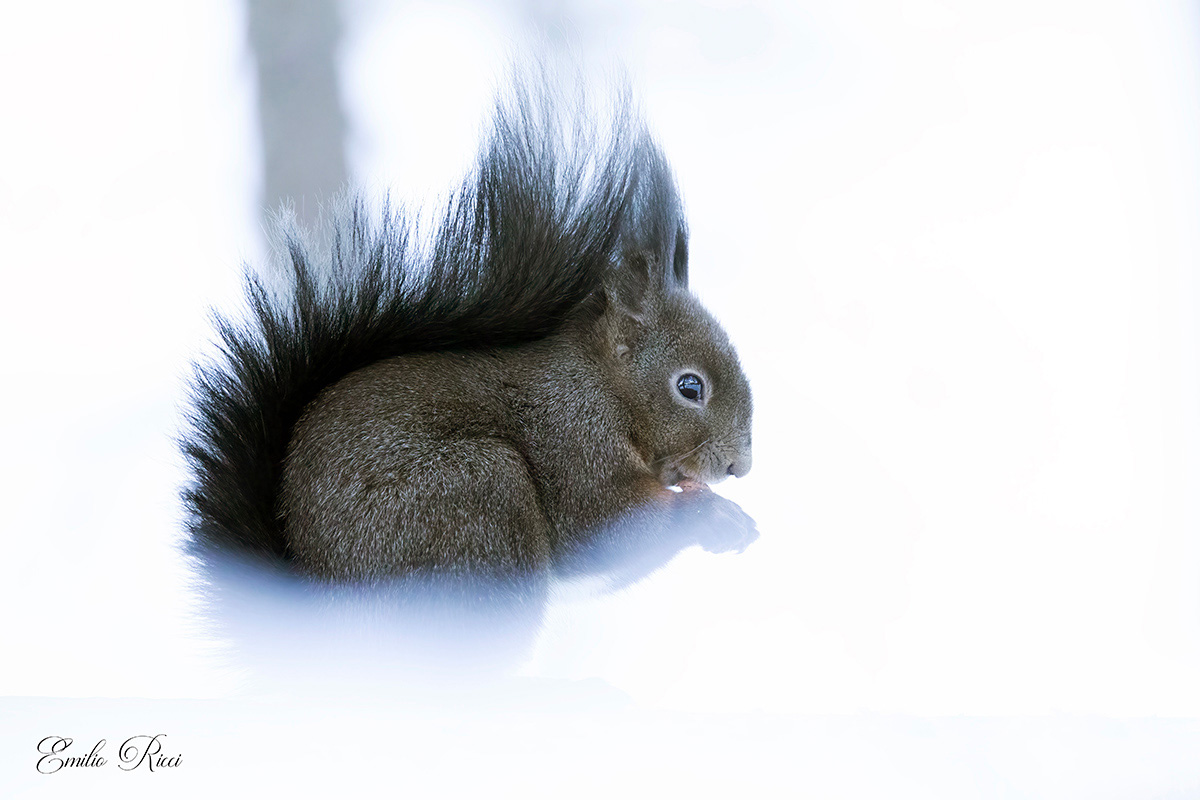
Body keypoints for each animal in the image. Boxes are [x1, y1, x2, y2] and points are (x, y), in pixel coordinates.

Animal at [182, 79, 756, 598]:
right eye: (689, 387)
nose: (739, 467)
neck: (603, 386)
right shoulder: (574, 438)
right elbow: (603, 528)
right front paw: (708, 515)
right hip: (476, 495)